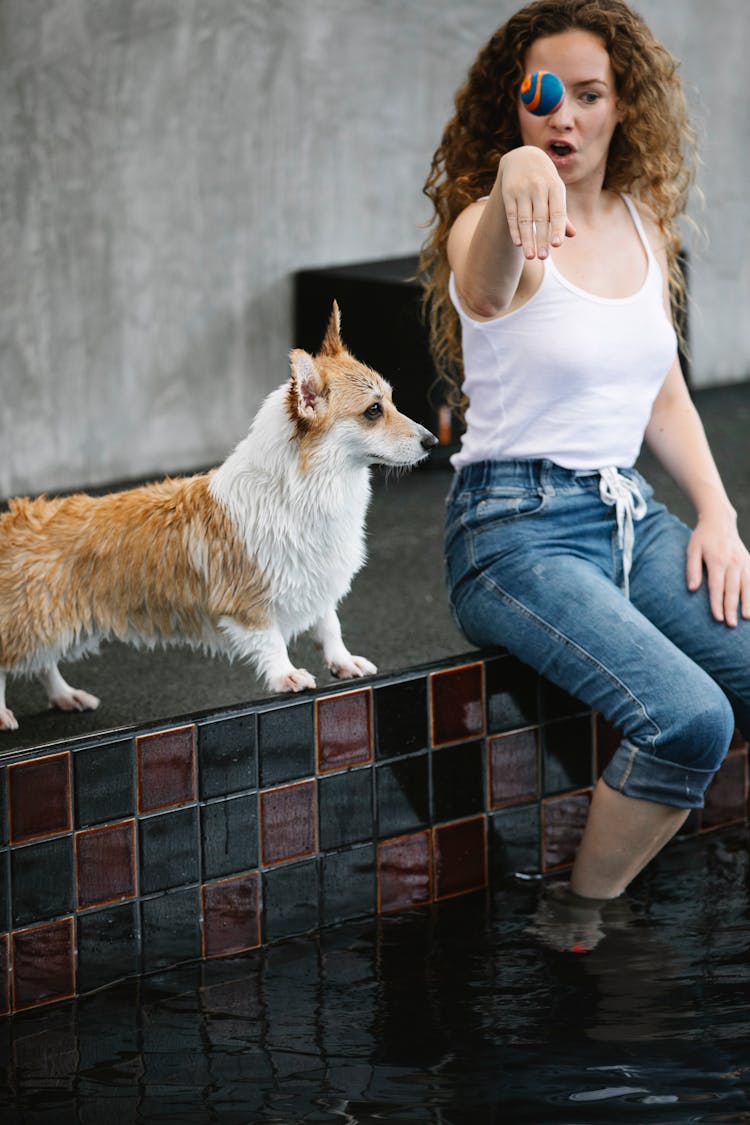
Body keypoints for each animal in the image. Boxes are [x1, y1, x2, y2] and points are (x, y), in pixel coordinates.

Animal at [0, 303, 436, 733]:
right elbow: (271, 640)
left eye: (392, 401)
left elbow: (329, 625)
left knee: (43, 665)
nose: (432, 442)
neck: (308, 484)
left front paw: (343, 662)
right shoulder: (249, 602)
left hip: (63, 628)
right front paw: (287, 675)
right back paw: (6, 714)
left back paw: (65, 696)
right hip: (37, 624)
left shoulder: (317, 580)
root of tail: (13, 518)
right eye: (373, 411)